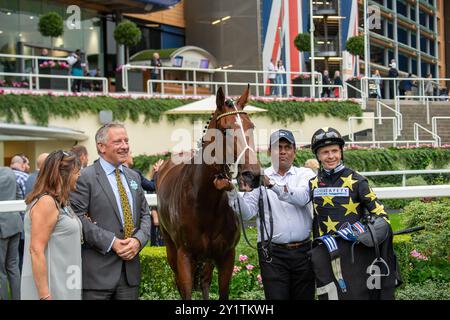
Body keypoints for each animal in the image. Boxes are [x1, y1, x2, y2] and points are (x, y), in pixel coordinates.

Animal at [156, 85, 262, 300]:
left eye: (251, 126)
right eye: (226, 130)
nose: (252, 175)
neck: (203, 200)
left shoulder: (226, 255)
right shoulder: (184, 255)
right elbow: (186, 291)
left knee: (205, 281)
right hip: (171, 249)